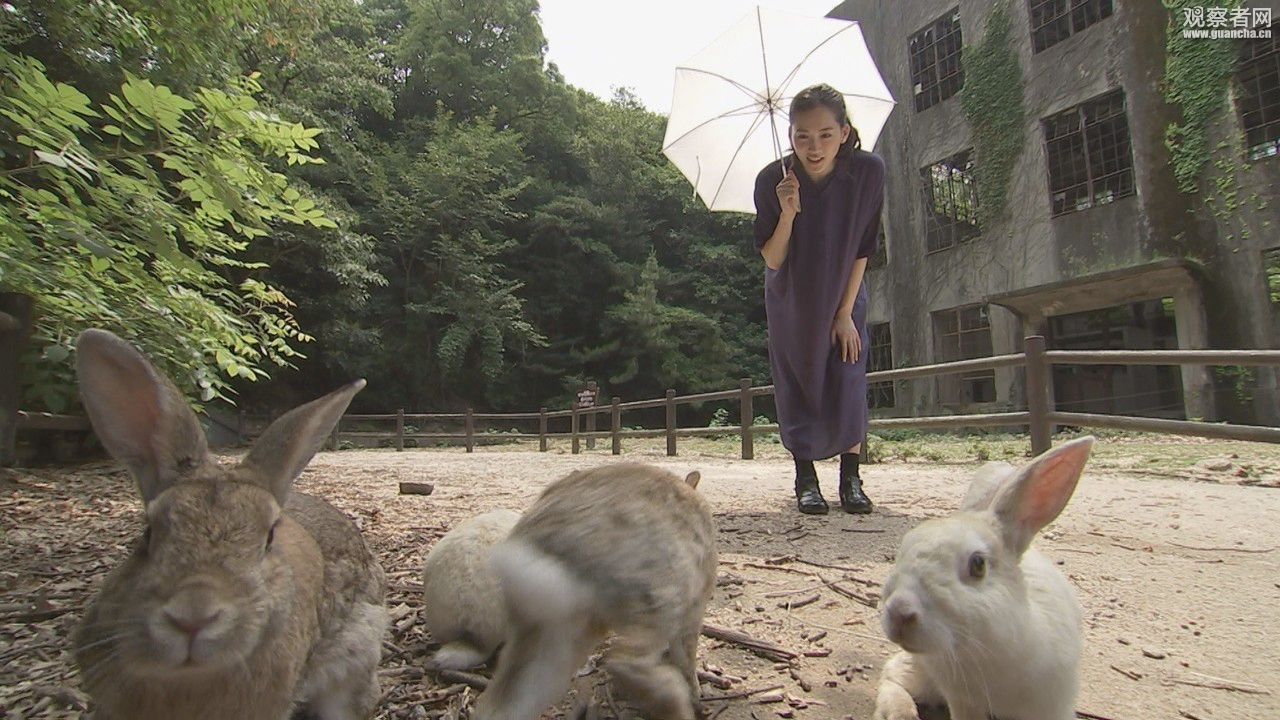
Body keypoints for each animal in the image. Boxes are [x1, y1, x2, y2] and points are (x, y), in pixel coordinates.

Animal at [472, 464, 715, 720]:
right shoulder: (693, 609)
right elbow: (685, 656)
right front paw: (696, 694)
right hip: (661, 594)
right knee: (623, 660)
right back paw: (675, 703)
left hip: (555, 633)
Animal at [873, 436, 1095, 720]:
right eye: (902, 549)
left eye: (978, 565)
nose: (900, 613)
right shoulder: (963, 702)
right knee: (893, 675)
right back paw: (901, 713)